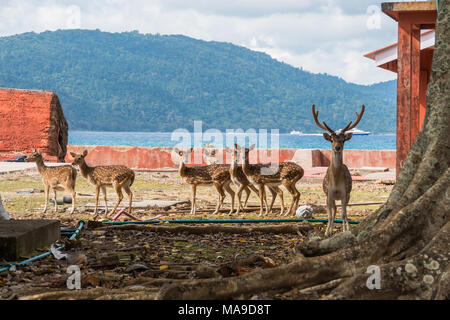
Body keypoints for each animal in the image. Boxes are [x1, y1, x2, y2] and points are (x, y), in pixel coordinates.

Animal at [312, 104, 366, 236]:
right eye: (331, 139)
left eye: (343, 139)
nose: (337, 147)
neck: (336, 181)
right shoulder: (329, 193)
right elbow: (330, 215)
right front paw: (327, 232)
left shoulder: (344, 193)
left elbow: (344, 214)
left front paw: (345, 230)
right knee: (334, 210)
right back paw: (330, 229)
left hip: (348, 194)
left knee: (342, 211)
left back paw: (346, 227)